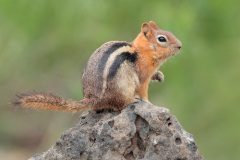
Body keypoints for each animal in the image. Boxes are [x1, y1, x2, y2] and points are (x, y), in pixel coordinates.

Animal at [13, 20, 182, 112]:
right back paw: (131, 100)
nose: (180, 46)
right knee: (118, 106)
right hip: (123, 87)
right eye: (162, 39)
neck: (141, 51)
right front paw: (149, 104)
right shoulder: (142, 76)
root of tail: (92, 98)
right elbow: (143, 91)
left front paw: (160, 76)